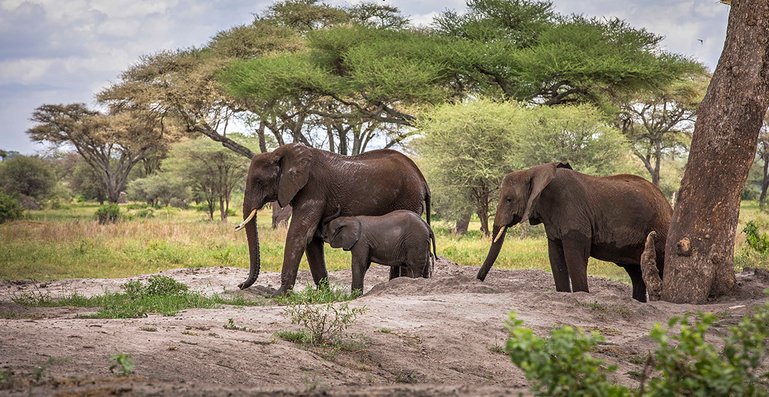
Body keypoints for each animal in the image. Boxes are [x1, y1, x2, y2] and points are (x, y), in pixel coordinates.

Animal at [234, 144, 428, 292]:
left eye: (259, 181)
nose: (240, 285)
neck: (281, 152)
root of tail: (422, 179)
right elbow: (311, 240)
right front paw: (325, 294)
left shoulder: (313, 189)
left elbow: (300, 234)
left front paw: (279, 294)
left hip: (408, 198)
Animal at [476, 161, 668, 300]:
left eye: (509, 199)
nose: (478, 280)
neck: (535, 171)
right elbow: (555, 256)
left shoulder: (574, 214)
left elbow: (575, 256)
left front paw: (581, 295)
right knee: (635, 273)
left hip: (660, 231)